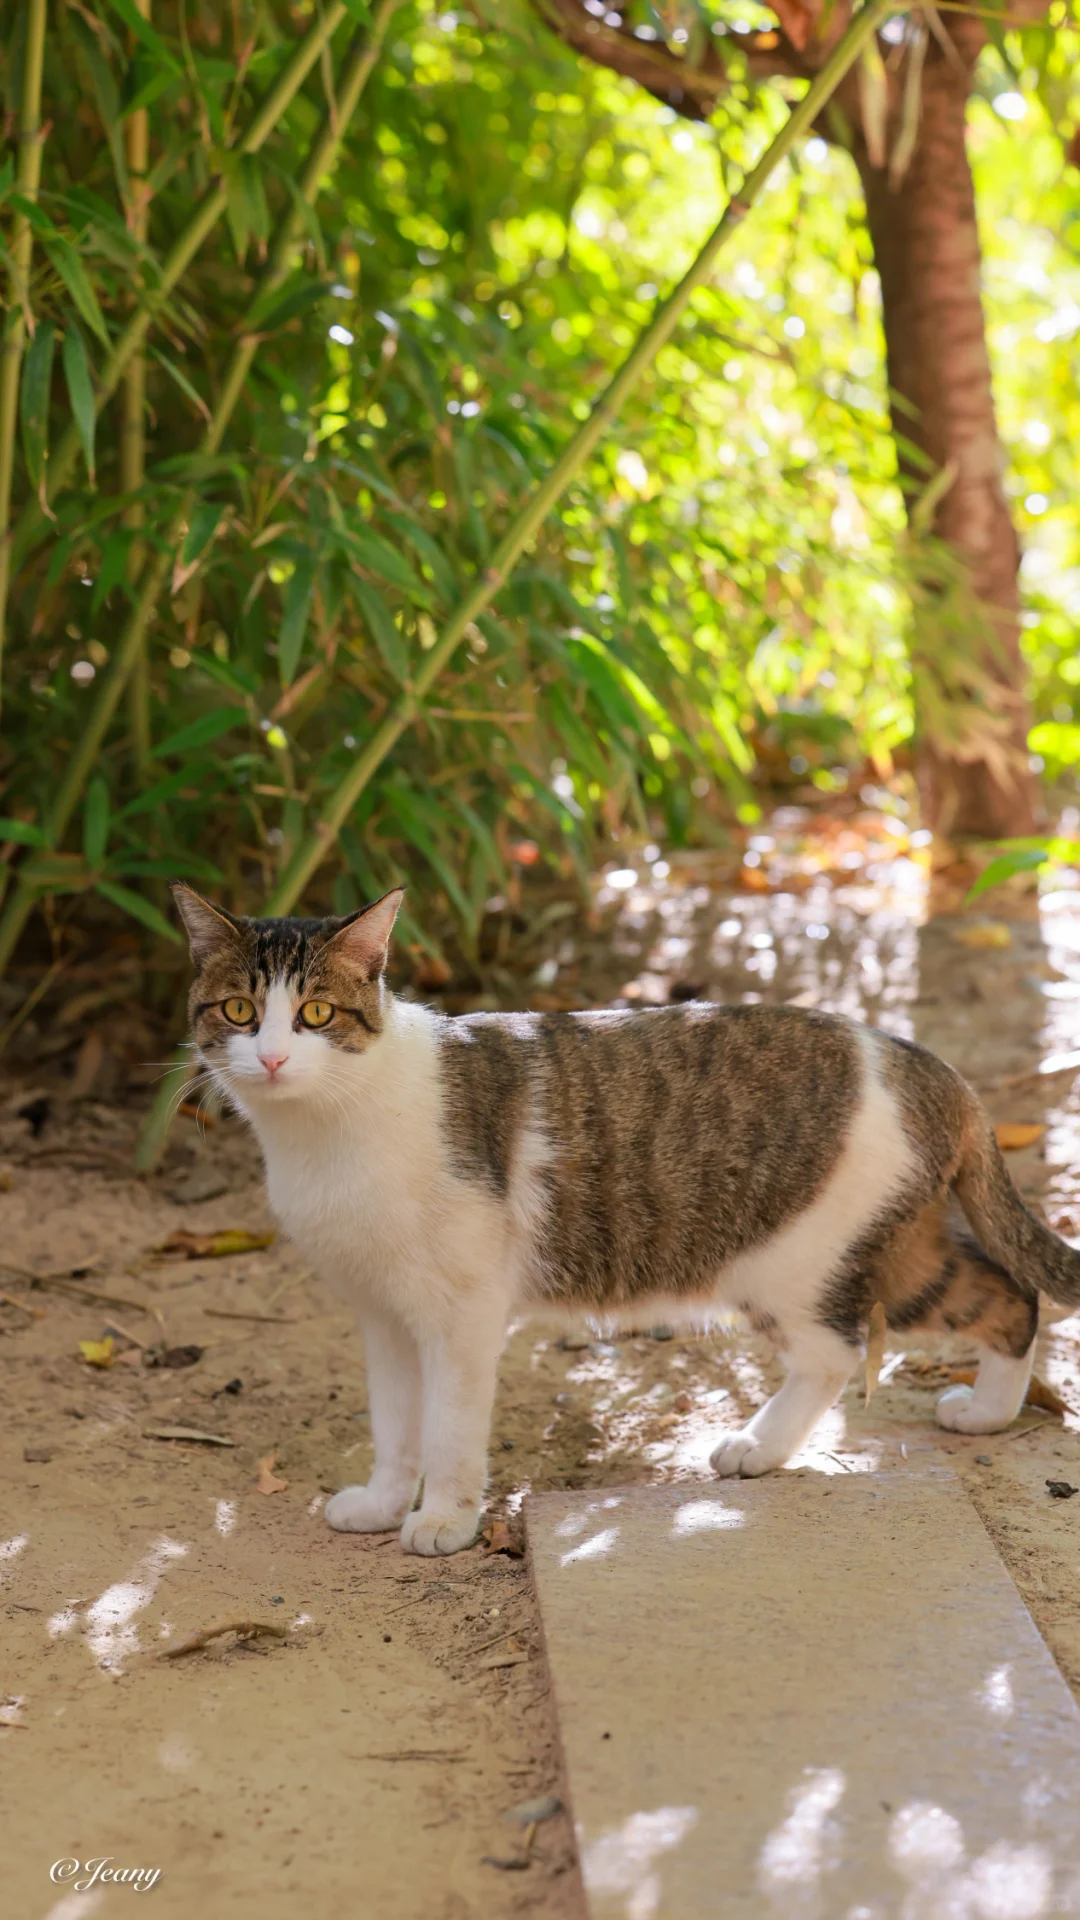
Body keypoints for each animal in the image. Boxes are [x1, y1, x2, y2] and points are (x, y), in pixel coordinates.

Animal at [171, 883, 1068, 1559]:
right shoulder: (382, 1312)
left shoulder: (461, 1312)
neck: (324, 1130)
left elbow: (448, 1428)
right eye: (240, 1010)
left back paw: (764, 1444)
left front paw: (444, 1519)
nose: (272, 1057)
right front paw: (387, 1503)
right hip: (898, 1252)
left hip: (790, 1261)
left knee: (843, 1348)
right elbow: (396, 1426)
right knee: (1006, 1296)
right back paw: (987, 1414)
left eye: (317, 1014)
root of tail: (918, 1058)